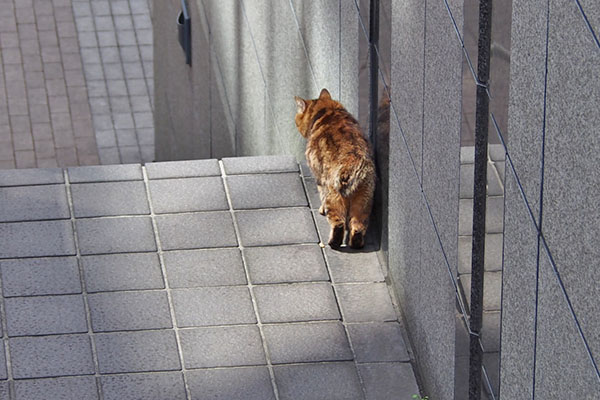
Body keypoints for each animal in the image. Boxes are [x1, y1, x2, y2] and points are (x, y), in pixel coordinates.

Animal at [296, 89, 376, 248]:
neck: (328, 112)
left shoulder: (319, 178)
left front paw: (321, 209)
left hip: (333, 194)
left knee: (338, 223)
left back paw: (333, 243)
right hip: (364, 199)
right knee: (358, 225)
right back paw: (356, 243)